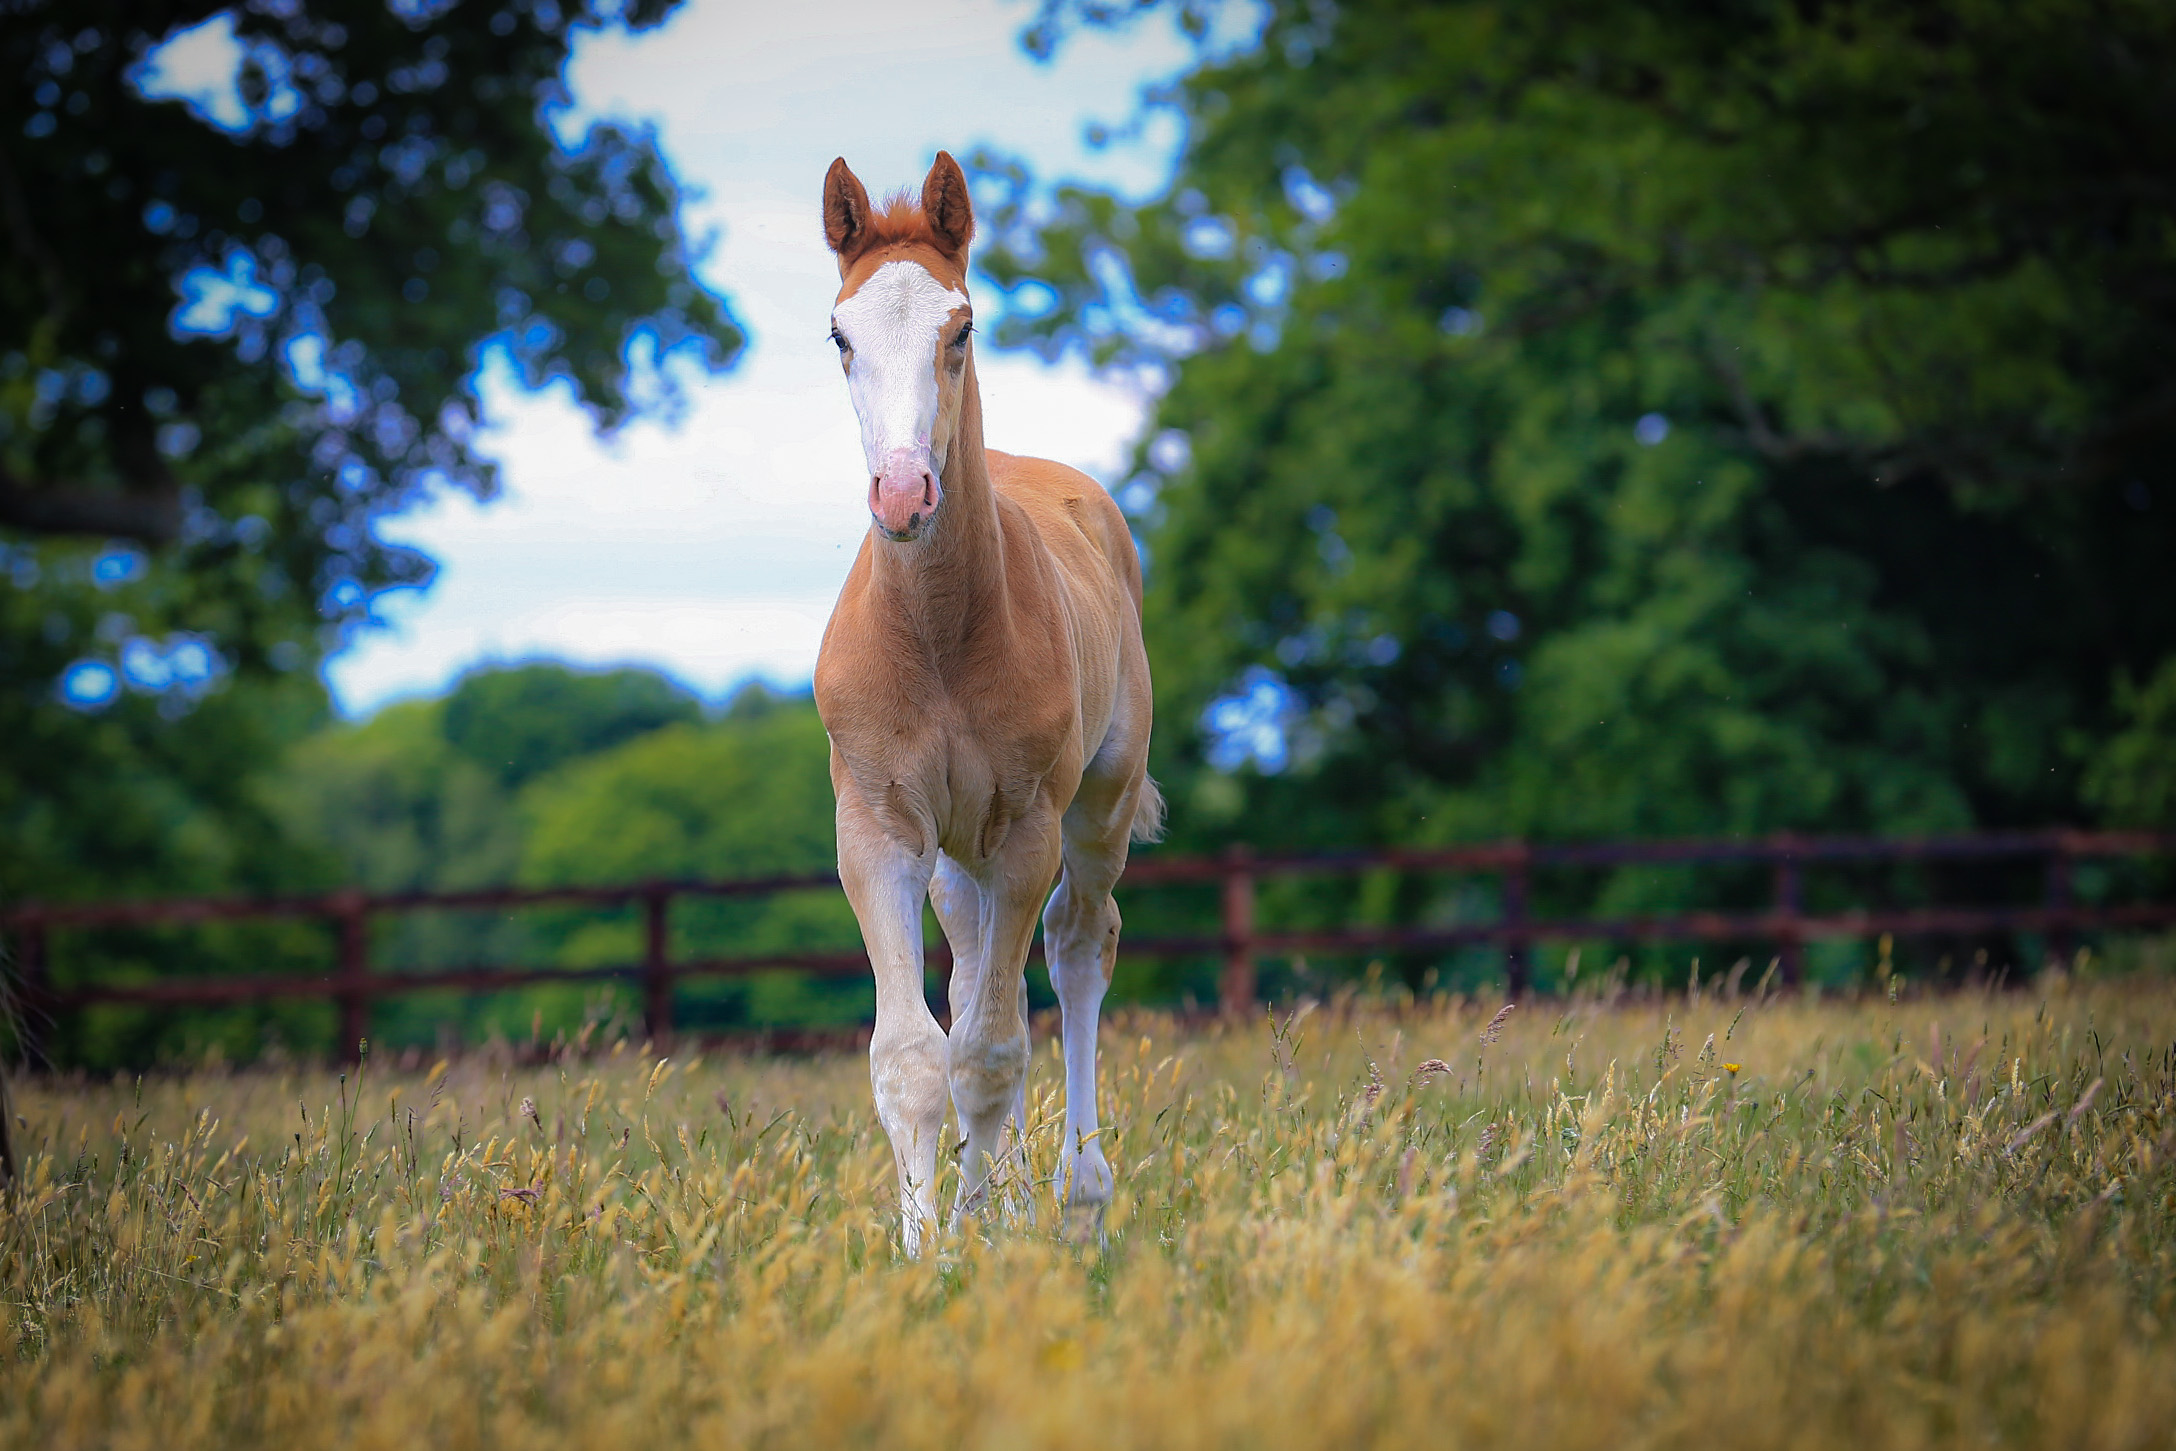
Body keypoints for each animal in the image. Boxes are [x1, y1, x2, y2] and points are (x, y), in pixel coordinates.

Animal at [813, 153, 1157, 1253]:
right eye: (840, 336)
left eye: (958, 328)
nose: (901, 492)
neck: (936, 639)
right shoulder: (878, 828)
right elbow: (916, 1055)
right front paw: (928, 1253)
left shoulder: (1023, 829)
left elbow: (992, 1051)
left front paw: (982, 1241)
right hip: (952, 857)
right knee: (969, 977)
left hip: (1095, 808)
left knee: (1079, 946)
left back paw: (1078, 1198)